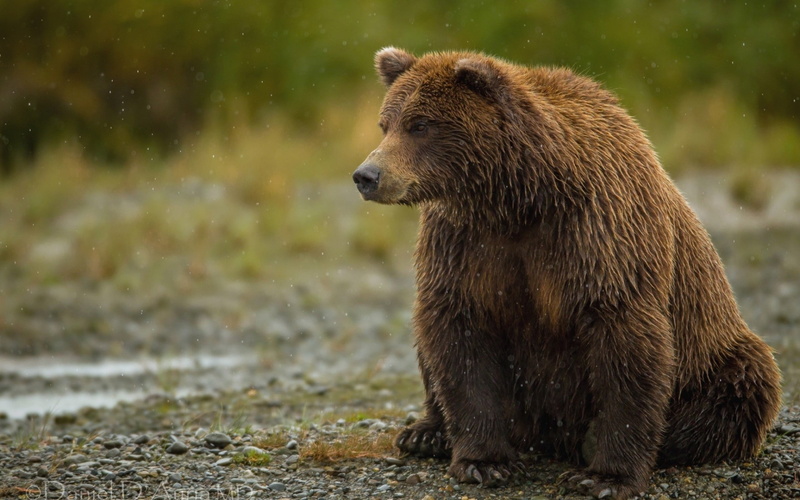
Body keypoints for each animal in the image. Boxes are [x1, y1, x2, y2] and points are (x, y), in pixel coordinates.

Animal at [352, 47, 782, 499]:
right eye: (386, 124)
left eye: (420, 125)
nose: (367, 175)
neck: (517, 200)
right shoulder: (464, 245)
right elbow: (459, 336)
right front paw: (483, 462)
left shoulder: (598, 236)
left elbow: (625, 346)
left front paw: (605, 476)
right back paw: (425, 433)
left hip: (715, 358)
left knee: (738, 390)